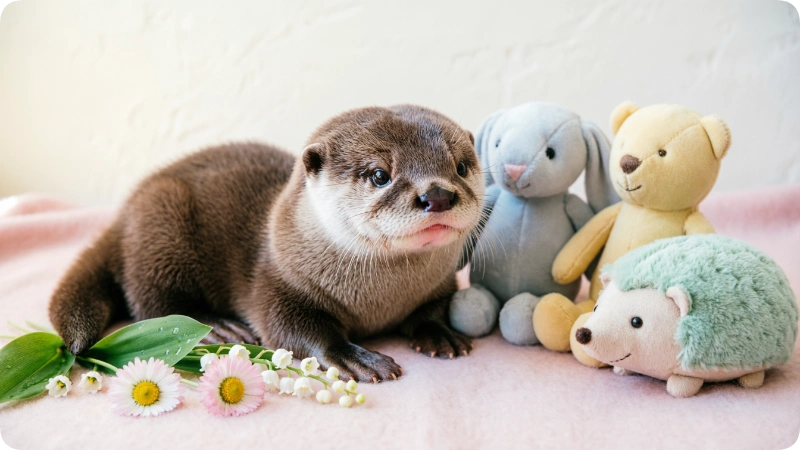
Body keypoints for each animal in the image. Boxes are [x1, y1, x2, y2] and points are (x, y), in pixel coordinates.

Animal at [49, 105, 485, 382]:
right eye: (380, 175)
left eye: (461, 166)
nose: (438, 195)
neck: (381, 300)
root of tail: (124, 213)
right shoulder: (277, 279)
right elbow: (290, 328)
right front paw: (352, 357)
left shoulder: (440, 283)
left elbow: (435, 307)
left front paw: (438, 332)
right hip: (160, 230)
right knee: (153, 302)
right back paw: (217, 327)